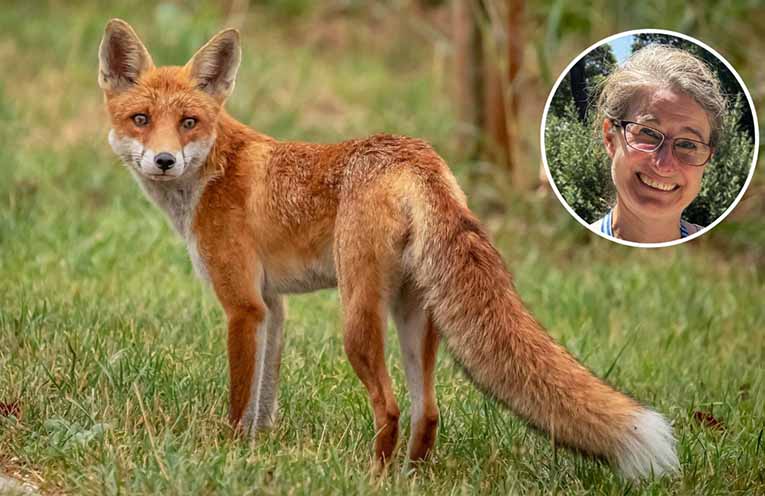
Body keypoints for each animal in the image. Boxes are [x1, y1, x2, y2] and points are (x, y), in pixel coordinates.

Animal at [98, 19, 679, 480]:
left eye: (189, 122)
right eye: (141, 120)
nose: (165, 161)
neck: (213, 172)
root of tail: (415, 155)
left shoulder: (243, 306)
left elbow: (241, 399)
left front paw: (230, 452)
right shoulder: (272, 307)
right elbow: (265, 397)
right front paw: (257, 451)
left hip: (357, 320)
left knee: (392, 408)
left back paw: (372, 474)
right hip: (415, 315)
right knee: (428, 412)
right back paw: (411, 476)